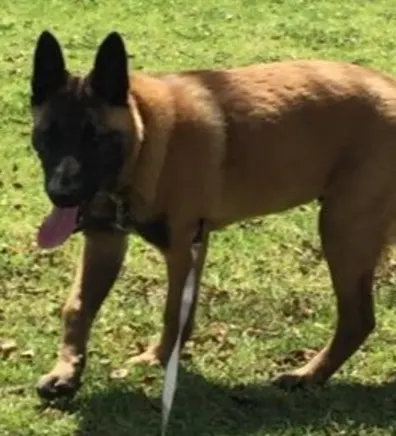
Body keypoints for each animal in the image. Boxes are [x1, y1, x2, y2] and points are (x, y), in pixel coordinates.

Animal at [31, 29, 396, 400]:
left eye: (95, 138)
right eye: (48, 136)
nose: (61, 194)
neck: (145, 140)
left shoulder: (185, 249)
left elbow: (174, 314)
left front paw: (158, 359)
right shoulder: (104, 243)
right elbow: (77, 308)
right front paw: (66, 370)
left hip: (342, 231)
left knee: (358, 319)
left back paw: (308, 375)